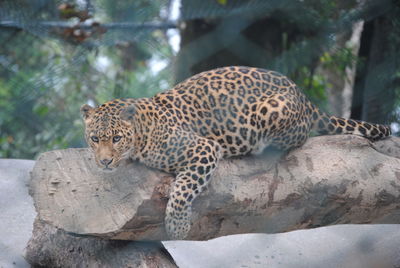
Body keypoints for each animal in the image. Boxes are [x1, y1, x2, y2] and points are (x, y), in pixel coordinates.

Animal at [80, 66, 390, 240]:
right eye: (95, 139)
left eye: (117, 138)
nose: (104, 162)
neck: (142, 133)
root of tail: (305, 98)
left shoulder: (203, 149)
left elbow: (182, 190)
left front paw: (177, 227)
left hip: (270, 111)